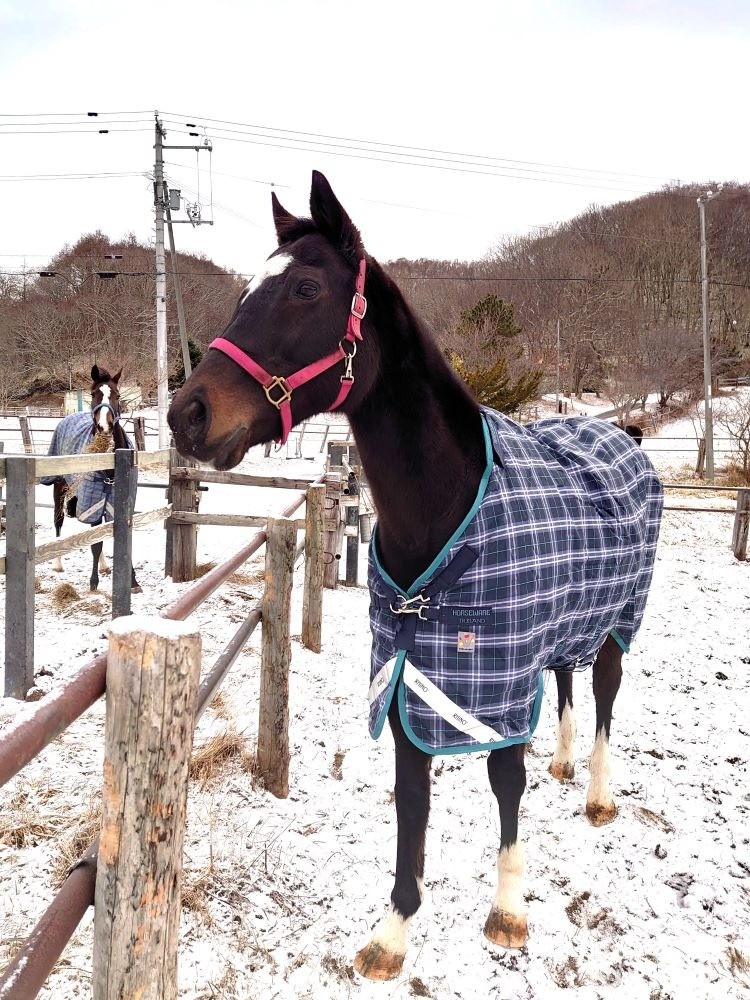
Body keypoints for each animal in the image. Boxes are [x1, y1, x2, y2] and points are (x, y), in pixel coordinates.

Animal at [41, 364, 141, 588]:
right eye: (93, 394)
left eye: (117, 395)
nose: (105, 426)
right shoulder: (94, 504)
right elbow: (96, 543)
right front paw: (93, 582)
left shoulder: (117, 505)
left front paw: (132, 581)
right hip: (59, 487)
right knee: (58, 521)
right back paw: (58, 564)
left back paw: (104, 566)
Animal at [169, 172, 664, 976]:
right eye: (245, 290)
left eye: (306, 288)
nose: (187, 413)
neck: (445, 510)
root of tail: (621, 431)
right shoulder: (406, 676)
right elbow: (410, 799)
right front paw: (393, 933)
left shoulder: (493, 682)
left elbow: (504, 780)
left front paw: (508, 912)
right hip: (565, 623)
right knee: (564, 682)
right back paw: (564, 766)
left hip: (619, 622)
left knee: (604, 697)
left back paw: (596, 794)